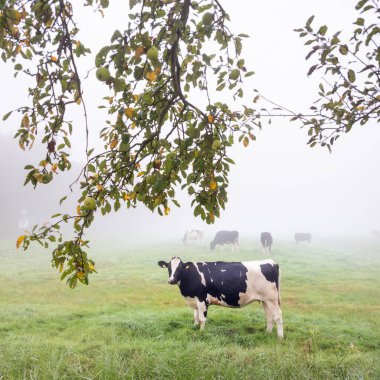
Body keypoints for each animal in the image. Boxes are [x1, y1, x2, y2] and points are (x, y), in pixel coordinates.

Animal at [156, 258, 284, 338]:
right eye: (168, 267)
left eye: (180, 268)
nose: (171, 280)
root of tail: (271, 262)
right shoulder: (194, 300)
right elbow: (195, 316)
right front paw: (194, 327)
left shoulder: (202, 299)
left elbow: (202, 318)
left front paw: (201, 332)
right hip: (265, 300)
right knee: (269, 316)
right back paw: (267, 333)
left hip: (272, 299)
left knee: (278, 316)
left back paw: (280, 337)